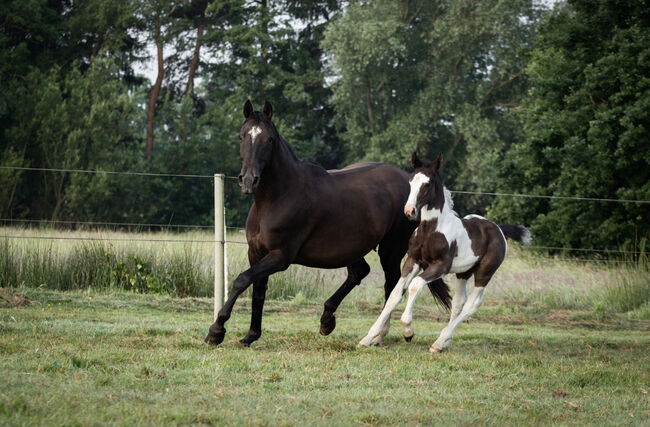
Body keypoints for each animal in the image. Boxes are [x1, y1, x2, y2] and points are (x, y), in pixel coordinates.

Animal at [205, 101, 448, 348]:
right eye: (242, 136)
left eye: (269, 139)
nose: (248, 180)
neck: (276, 198)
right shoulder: (256, 253)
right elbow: (257, 291)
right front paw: (250, 335)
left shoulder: (280, 256)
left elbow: (241, 280)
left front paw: (216, 330)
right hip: (353, 247)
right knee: (360, 272)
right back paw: (327, 320)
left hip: (390, 250)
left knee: (392, 286)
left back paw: (377, 335)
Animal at [356, 152, 528, 352]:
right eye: (411, 181)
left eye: (427, 183)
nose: (409, 211)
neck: (431, 230)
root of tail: (498, 229)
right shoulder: (412, 261)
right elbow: (394, 295)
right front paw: (368, 338)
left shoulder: (440, 267)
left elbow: (415, 285)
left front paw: (408, 331)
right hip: (463, 273)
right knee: (459, 302)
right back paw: (443, 343)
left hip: (485, 272)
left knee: (473, 303)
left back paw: (439, 342)